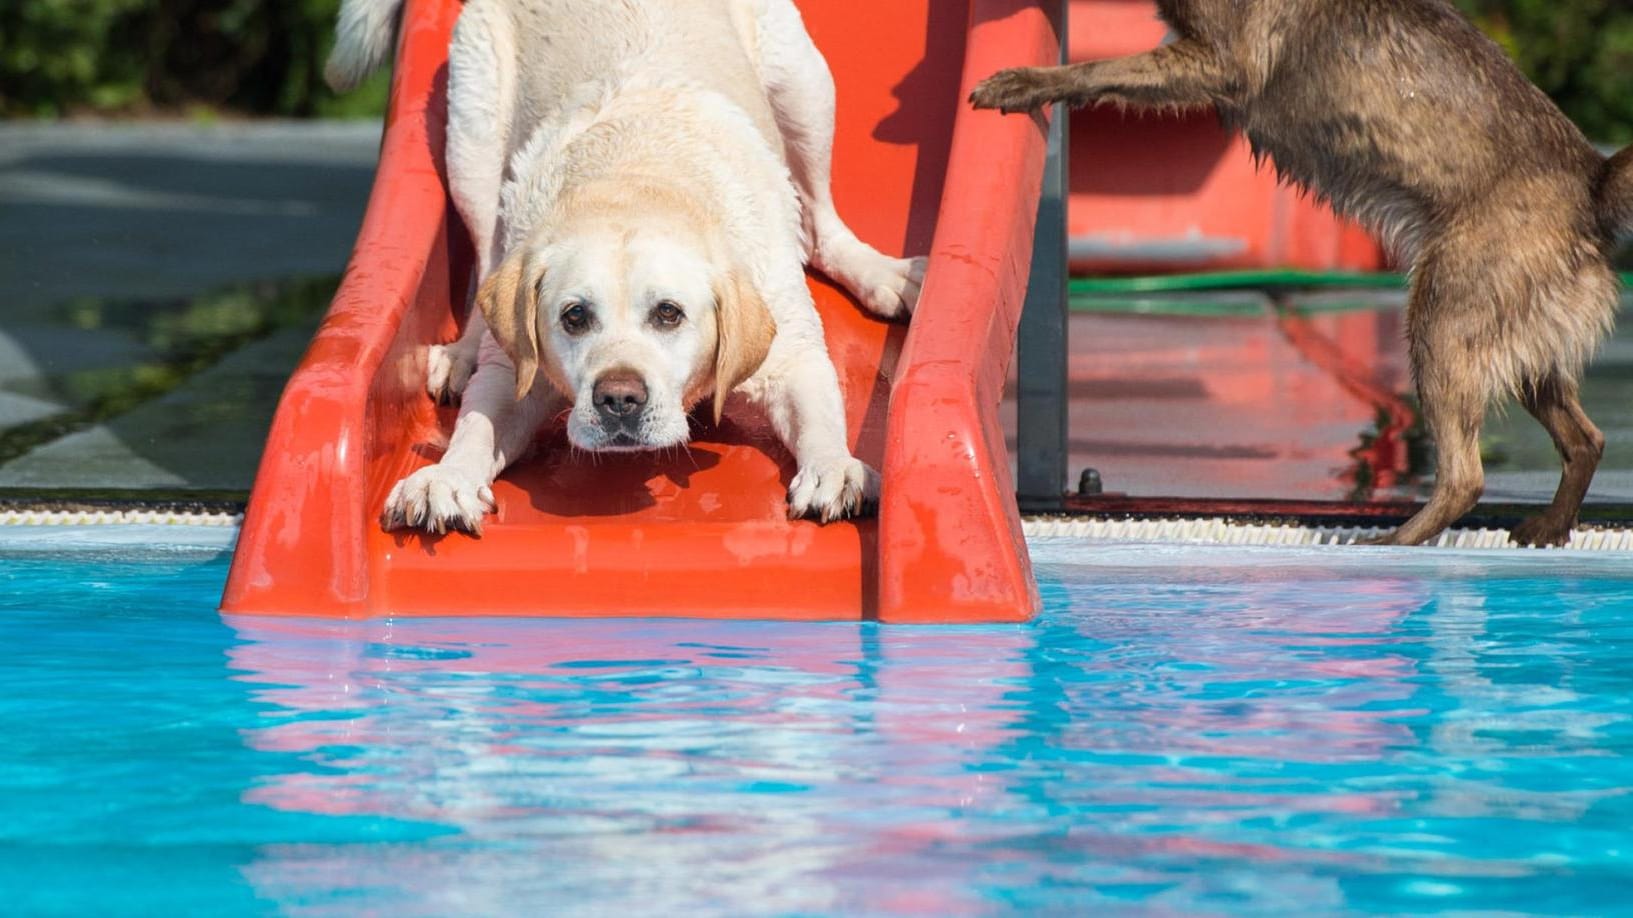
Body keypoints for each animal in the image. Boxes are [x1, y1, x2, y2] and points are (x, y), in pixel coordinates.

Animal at [324, 0, 927, 529]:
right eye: (573, 316)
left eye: (669, 313)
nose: (618, 399)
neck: (637, 177)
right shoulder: (512, 372)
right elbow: (476, 423)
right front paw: (448, 478)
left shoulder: (792, 353)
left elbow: (818, 414)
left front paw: (834, 469)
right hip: (473, 140)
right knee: (485, 256)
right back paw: (463, 351)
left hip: (804, 86)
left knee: (819, 223)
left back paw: (883, 273)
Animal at [966, 0, 1633, 542]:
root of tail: (1594, 185)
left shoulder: (1216, 60)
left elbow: (1096, 68)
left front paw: (1022, 82)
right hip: (1519, 349)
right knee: (1585, 440)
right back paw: (1548, 527)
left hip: (1441, 322)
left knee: (1465, 476)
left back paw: (1395, 543)